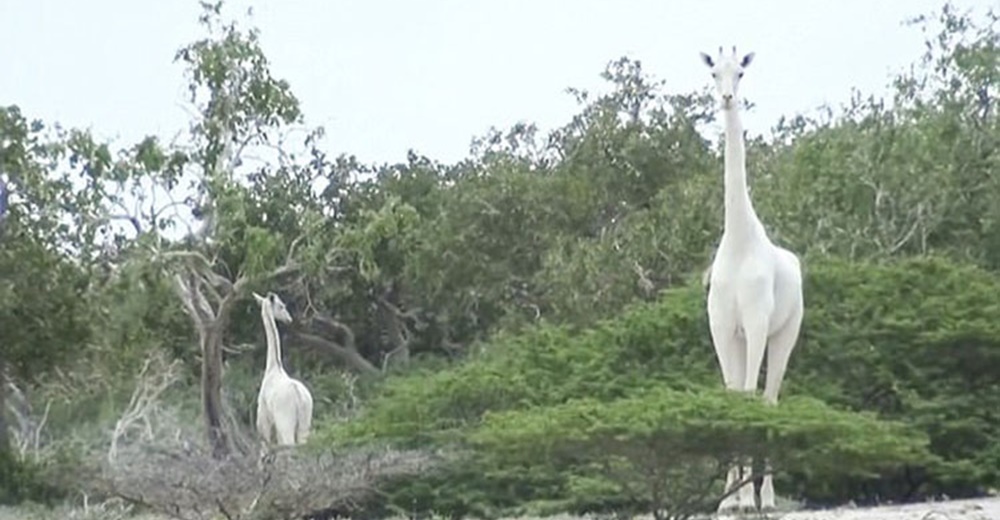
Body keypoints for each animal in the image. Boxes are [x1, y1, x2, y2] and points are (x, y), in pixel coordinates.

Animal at [254, 290, 312, 444]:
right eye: (281, 306)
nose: (289, 319)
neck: (273, 367)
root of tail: (299, 397)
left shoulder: (264, 424)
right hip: (304, 424)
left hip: (285, 423)